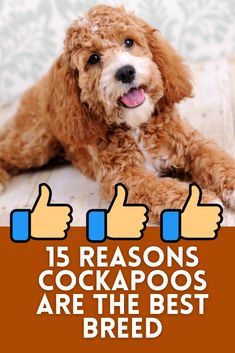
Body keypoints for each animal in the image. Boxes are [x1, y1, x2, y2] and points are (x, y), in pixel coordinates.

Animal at [0, 4, 235, 220]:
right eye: (93, 58)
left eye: (129, 42)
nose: (126, 71)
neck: (136, 125)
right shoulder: (123, 176)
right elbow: (160, 187)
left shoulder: (191, 144)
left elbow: (217, 159)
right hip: (34, 143)